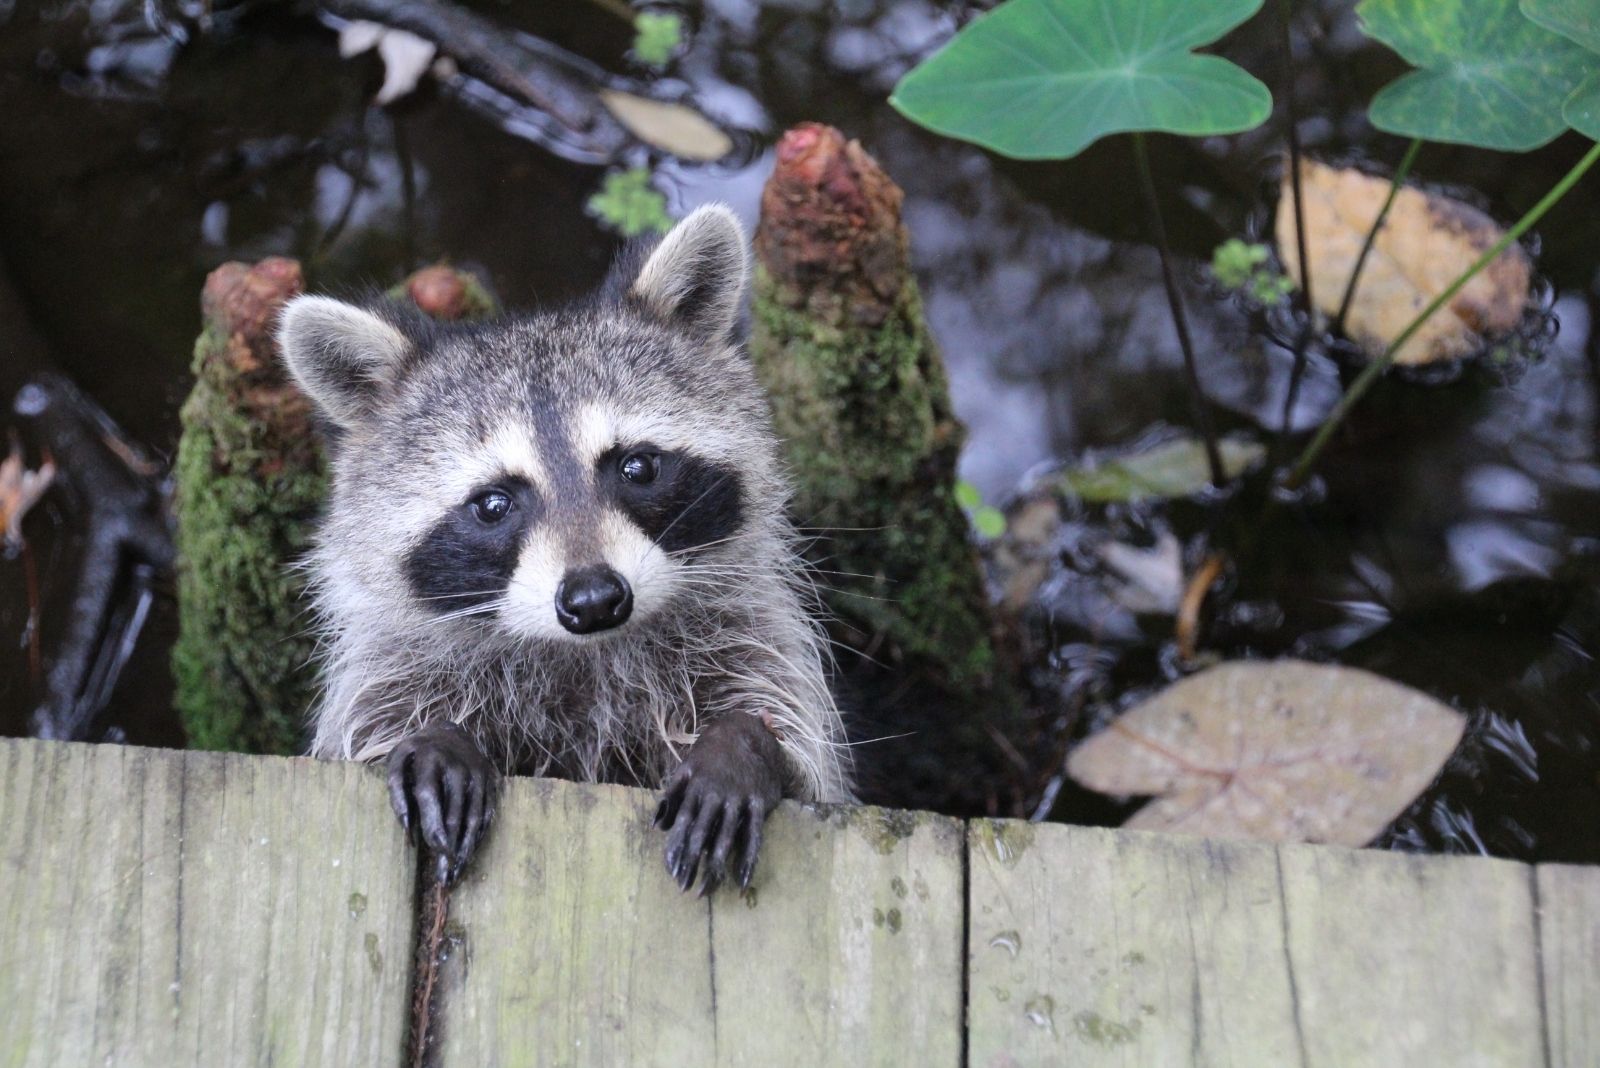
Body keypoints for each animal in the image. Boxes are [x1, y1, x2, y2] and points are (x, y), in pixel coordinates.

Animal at [277, 206, 852, 893]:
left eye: (637, 467)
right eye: (493, 504)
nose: (595, 599)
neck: (585, 657)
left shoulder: (743, 634)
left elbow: (800, 753)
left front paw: (741, 744)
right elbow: (372, 724)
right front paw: (433, 739)